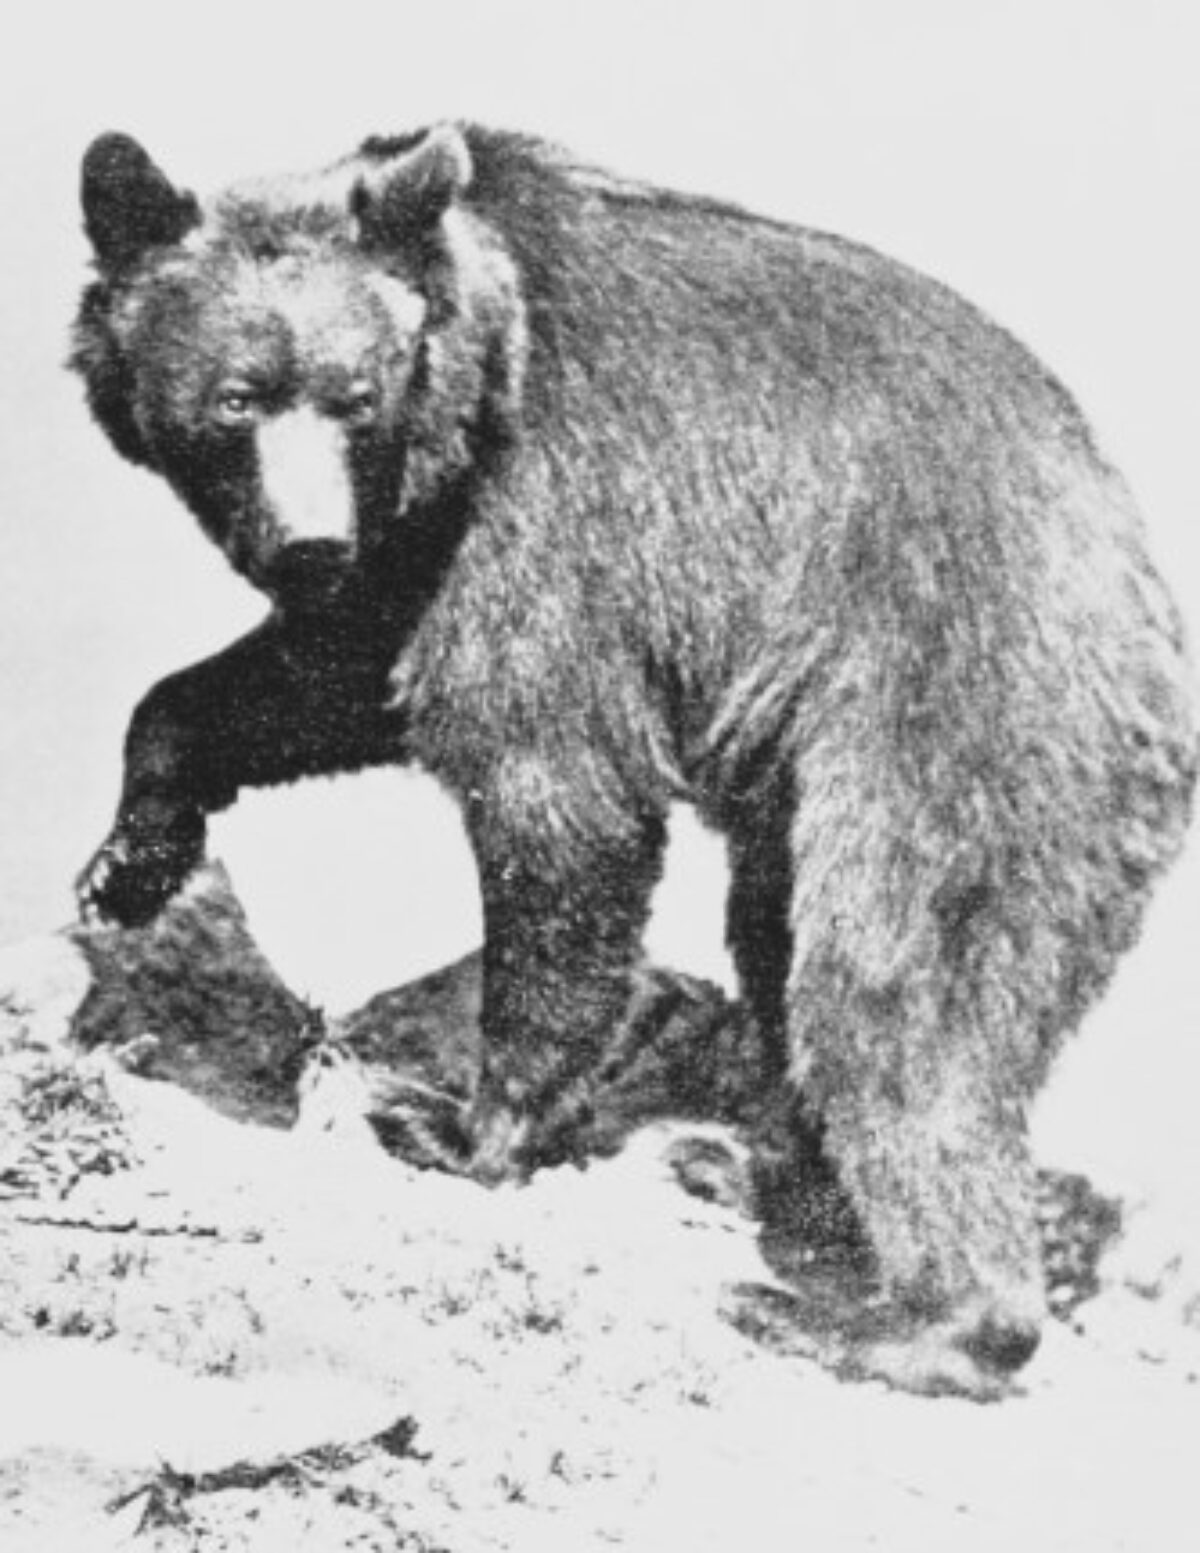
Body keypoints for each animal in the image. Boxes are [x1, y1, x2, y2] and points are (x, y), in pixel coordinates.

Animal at [70, 123, 1195, 1398]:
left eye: (351, 396)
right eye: (235, 398)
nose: (308, 541)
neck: (474, 380)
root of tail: (1146, 590)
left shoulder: (556, 514)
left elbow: (557, 796)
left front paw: (456, 1123)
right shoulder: (415, 548)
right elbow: (319, 677)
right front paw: (132, 859)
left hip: (964, 717)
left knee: (896, 996)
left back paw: (882, 1317)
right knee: (780, 942)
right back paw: (760, 1177)